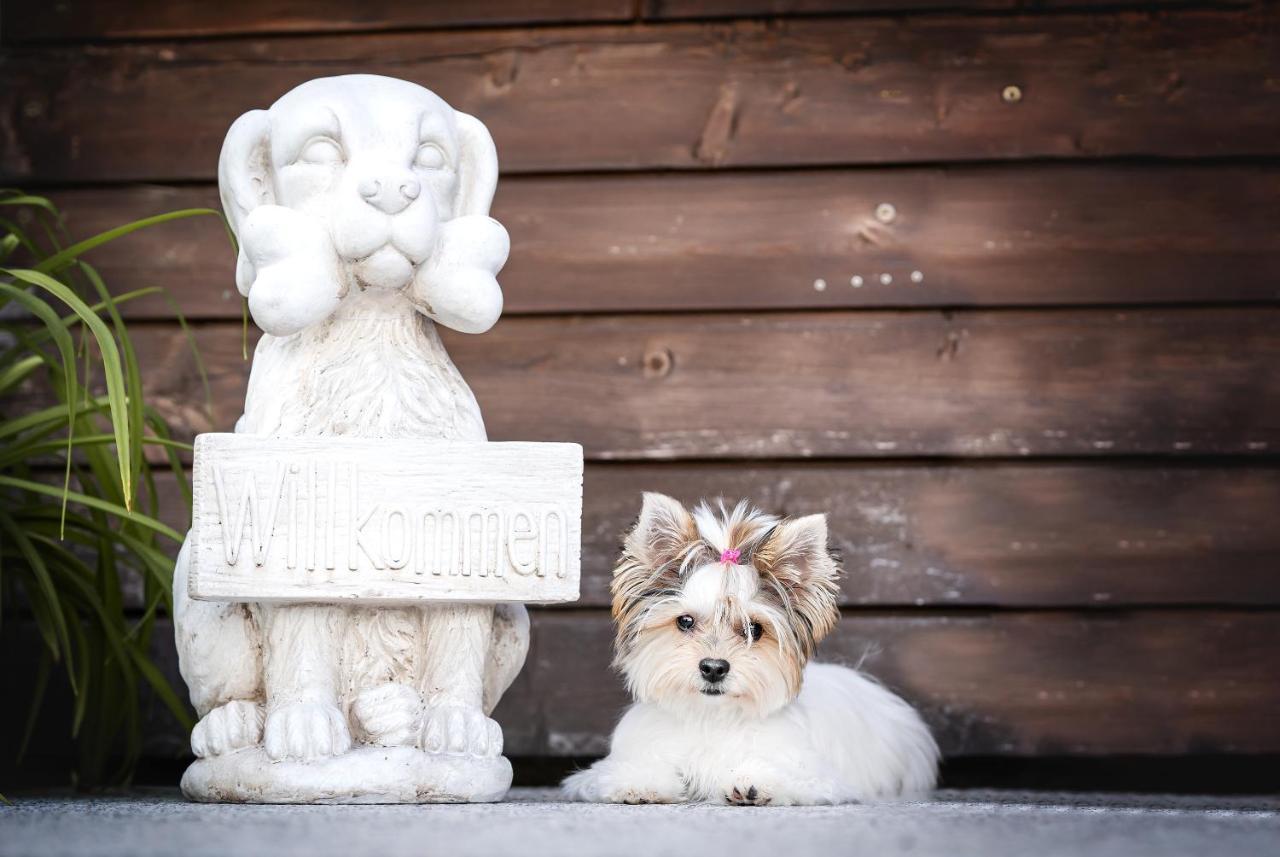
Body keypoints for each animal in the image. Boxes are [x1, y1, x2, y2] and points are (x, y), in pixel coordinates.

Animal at [563, 493, 942, 808]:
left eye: (753, 630)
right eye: (685, 622)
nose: (714, 667)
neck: (711, 717)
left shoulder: (817, 775)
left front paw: (755, 781)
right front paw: (639, 782)